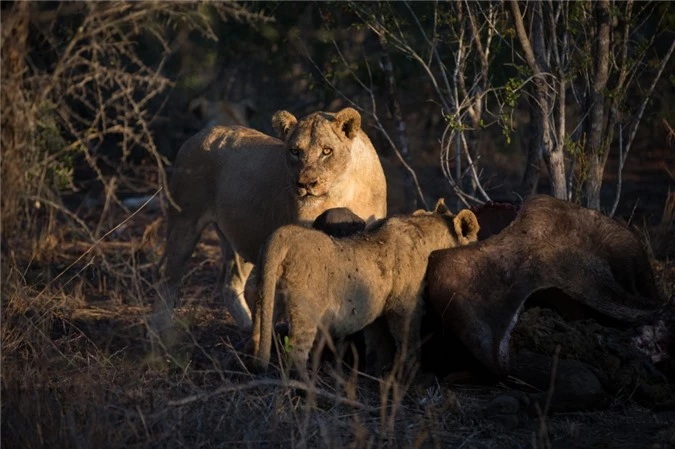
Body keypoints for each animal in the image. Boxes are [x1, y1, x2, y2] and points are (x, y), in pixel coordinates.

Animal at [151, 108, 388, 340]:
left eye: (327, 151)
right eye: (295, 151)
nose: (305, 184)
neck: (342, 189)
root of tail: (199, 135)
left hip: (241, 235)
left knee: (229, 283)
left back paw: (247, 326)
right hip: (185, 222)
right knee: (167, 276)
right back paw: (162, 333)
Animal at [250, 200, 480, 374]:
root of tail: (283, 235)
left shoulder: (375, 310)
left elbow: (379, 344)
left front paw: (377, 373)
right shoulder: (404, 305)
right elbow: (408, 339)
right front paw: (408, 375)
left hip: (265, 295)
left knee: (257, 333)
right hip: (306, 311)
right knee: (297, 353)